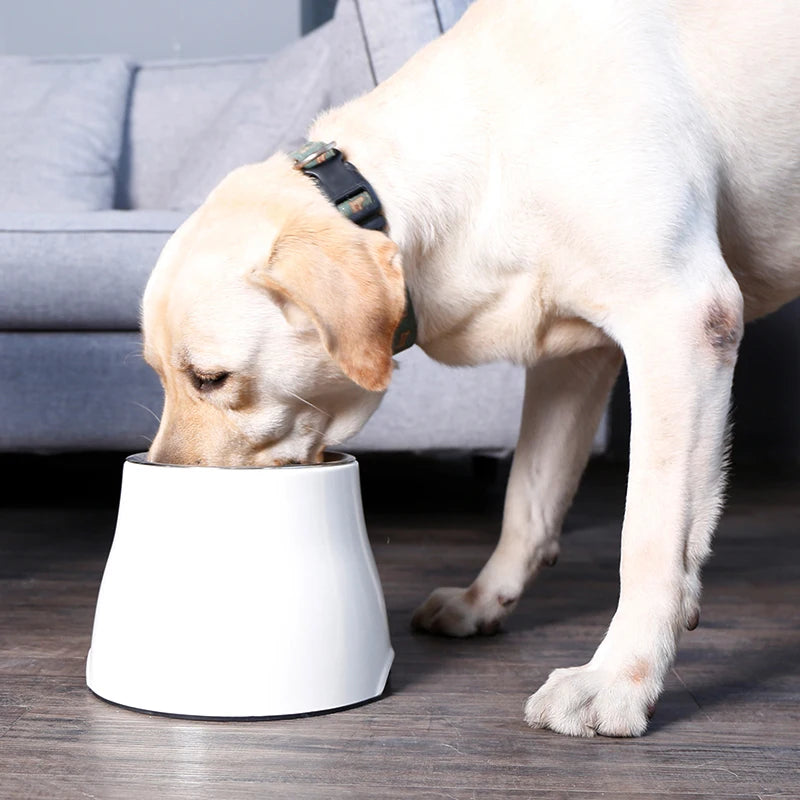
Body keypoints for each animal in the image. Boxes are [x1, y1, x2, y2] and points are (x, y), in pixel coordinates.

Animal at [141, 0, 796, 736]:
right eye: (159, 373)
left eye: (211, 379)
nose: (160, 482)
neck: (494, 143)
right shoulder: (577, 356)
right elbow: (528, 499)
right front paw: (487, 599)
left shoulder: (681, 319)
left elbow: (651, 532)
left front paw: (620, 677)